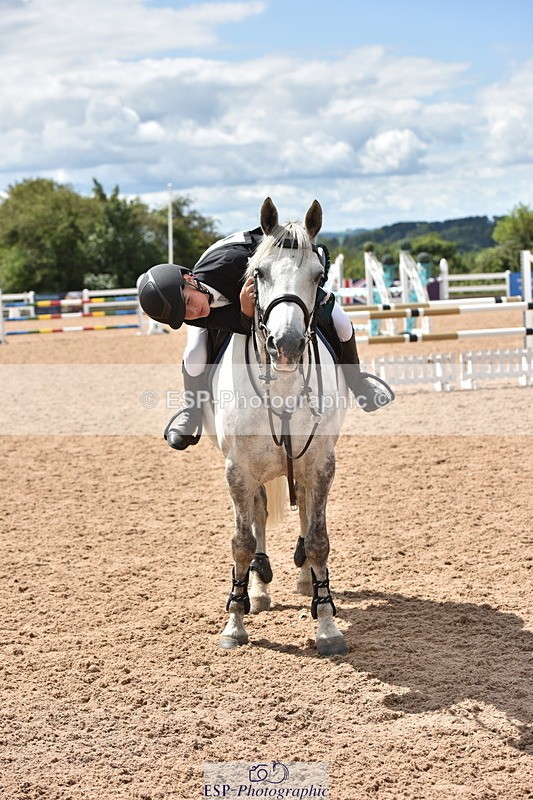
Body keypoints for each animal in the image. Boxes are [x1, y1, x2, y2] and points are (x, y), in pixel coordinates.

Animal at [203, 198, 350, 656]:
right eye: (259, 274)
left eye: (318, 276)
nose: (285, 346)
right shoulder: (238, 469)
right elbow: (242, 541)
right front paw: (235, 622)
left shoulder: (320, 463)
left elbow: (318, 538)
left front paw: (327, 624)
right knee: (259, 517)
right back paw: (259, 588)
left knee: (303, 512)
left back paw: (306, 581)